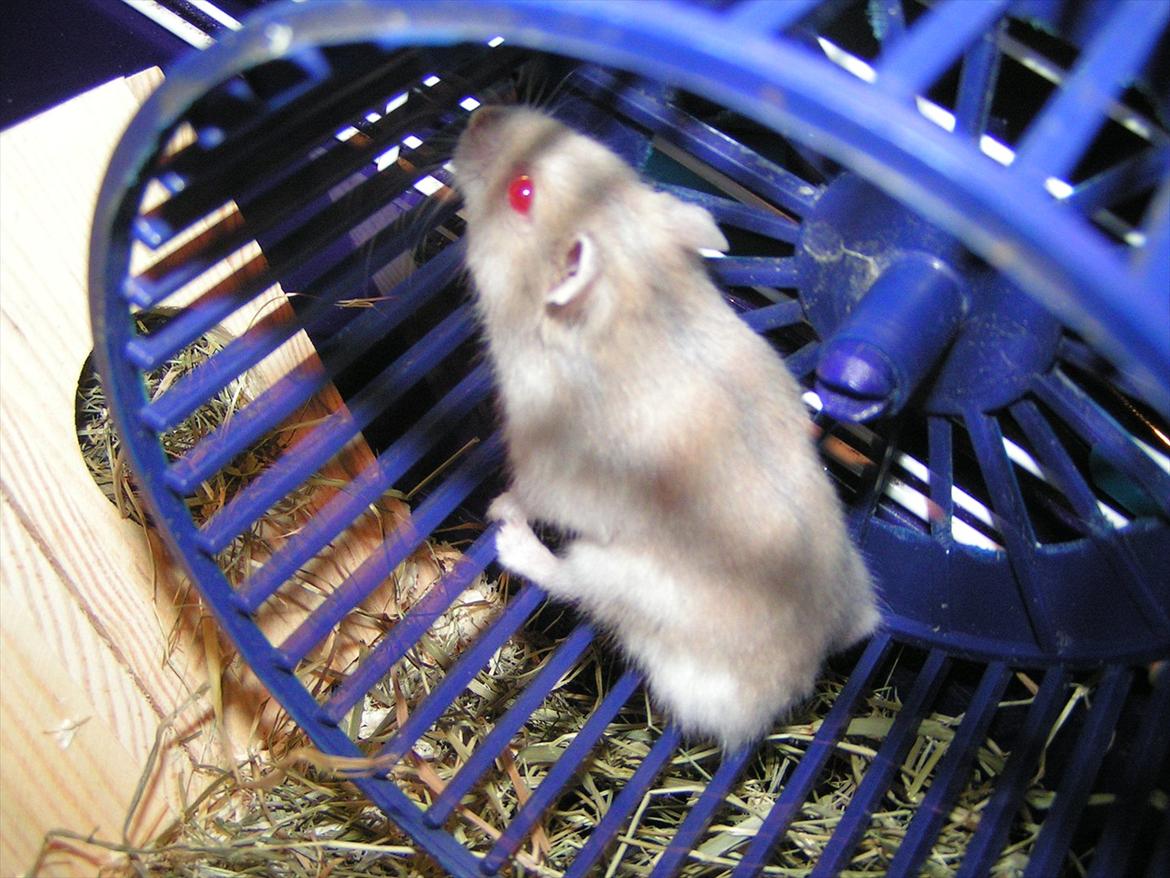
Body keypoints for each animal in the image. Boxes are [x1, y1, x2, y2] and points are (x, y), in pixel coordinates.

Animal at [453, 105, 880, 753]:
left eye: (522, 193)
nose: (481, 113)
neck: (638, 288)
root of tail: (801, 680)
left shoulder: (541, 464)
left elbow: (524, 492)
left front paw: (496, 506)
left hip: (618, 574)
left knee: (570, 583)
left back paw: (511, 542)